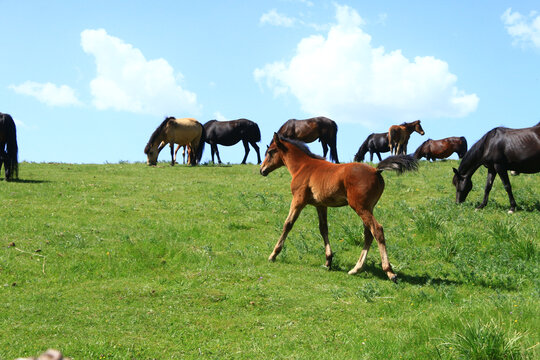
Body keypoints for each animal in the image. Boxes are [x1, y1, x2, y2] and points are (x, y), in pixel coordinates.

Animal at [260, 132, 418, 282]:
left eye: (270, 151)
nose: (262, 170)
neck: (303, 167)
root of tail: (375, 170)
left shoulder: (298, 200)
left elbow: (288, 224)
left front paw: (273, 254)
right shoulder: (321, 205)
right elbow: (323, 228)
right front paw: (328, 261)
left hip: (360, 207)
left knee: (377, 230)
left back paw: (390, 272)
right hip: (368, 207)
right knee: (368, 234)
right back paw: (356, 269)